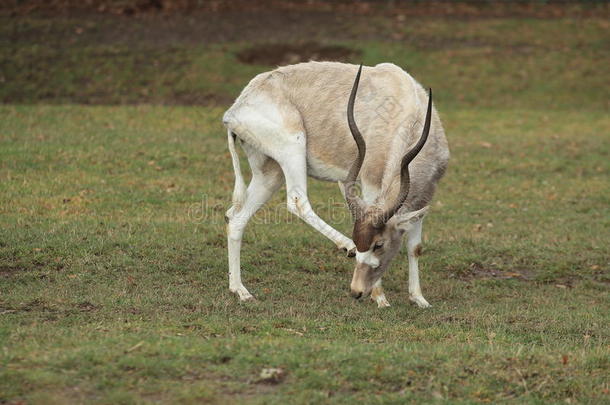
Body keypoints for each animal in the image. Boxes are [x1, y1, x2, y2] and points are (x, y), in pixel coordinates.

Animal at [222, 60, 446, 306]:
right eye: (368, 242)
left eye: (379, 244)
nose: (356, 291)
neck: (408, 110)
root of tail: (235, 110)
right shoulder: (371, 183)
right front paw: (380, 298)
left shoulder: (424, 195)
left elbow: (415, 248)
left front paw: (419, 299)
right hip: (293, 147)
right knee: (297, 202)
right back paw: (346, 246)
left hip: (269, 173)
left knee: (236, 218)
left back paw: (240, 290)